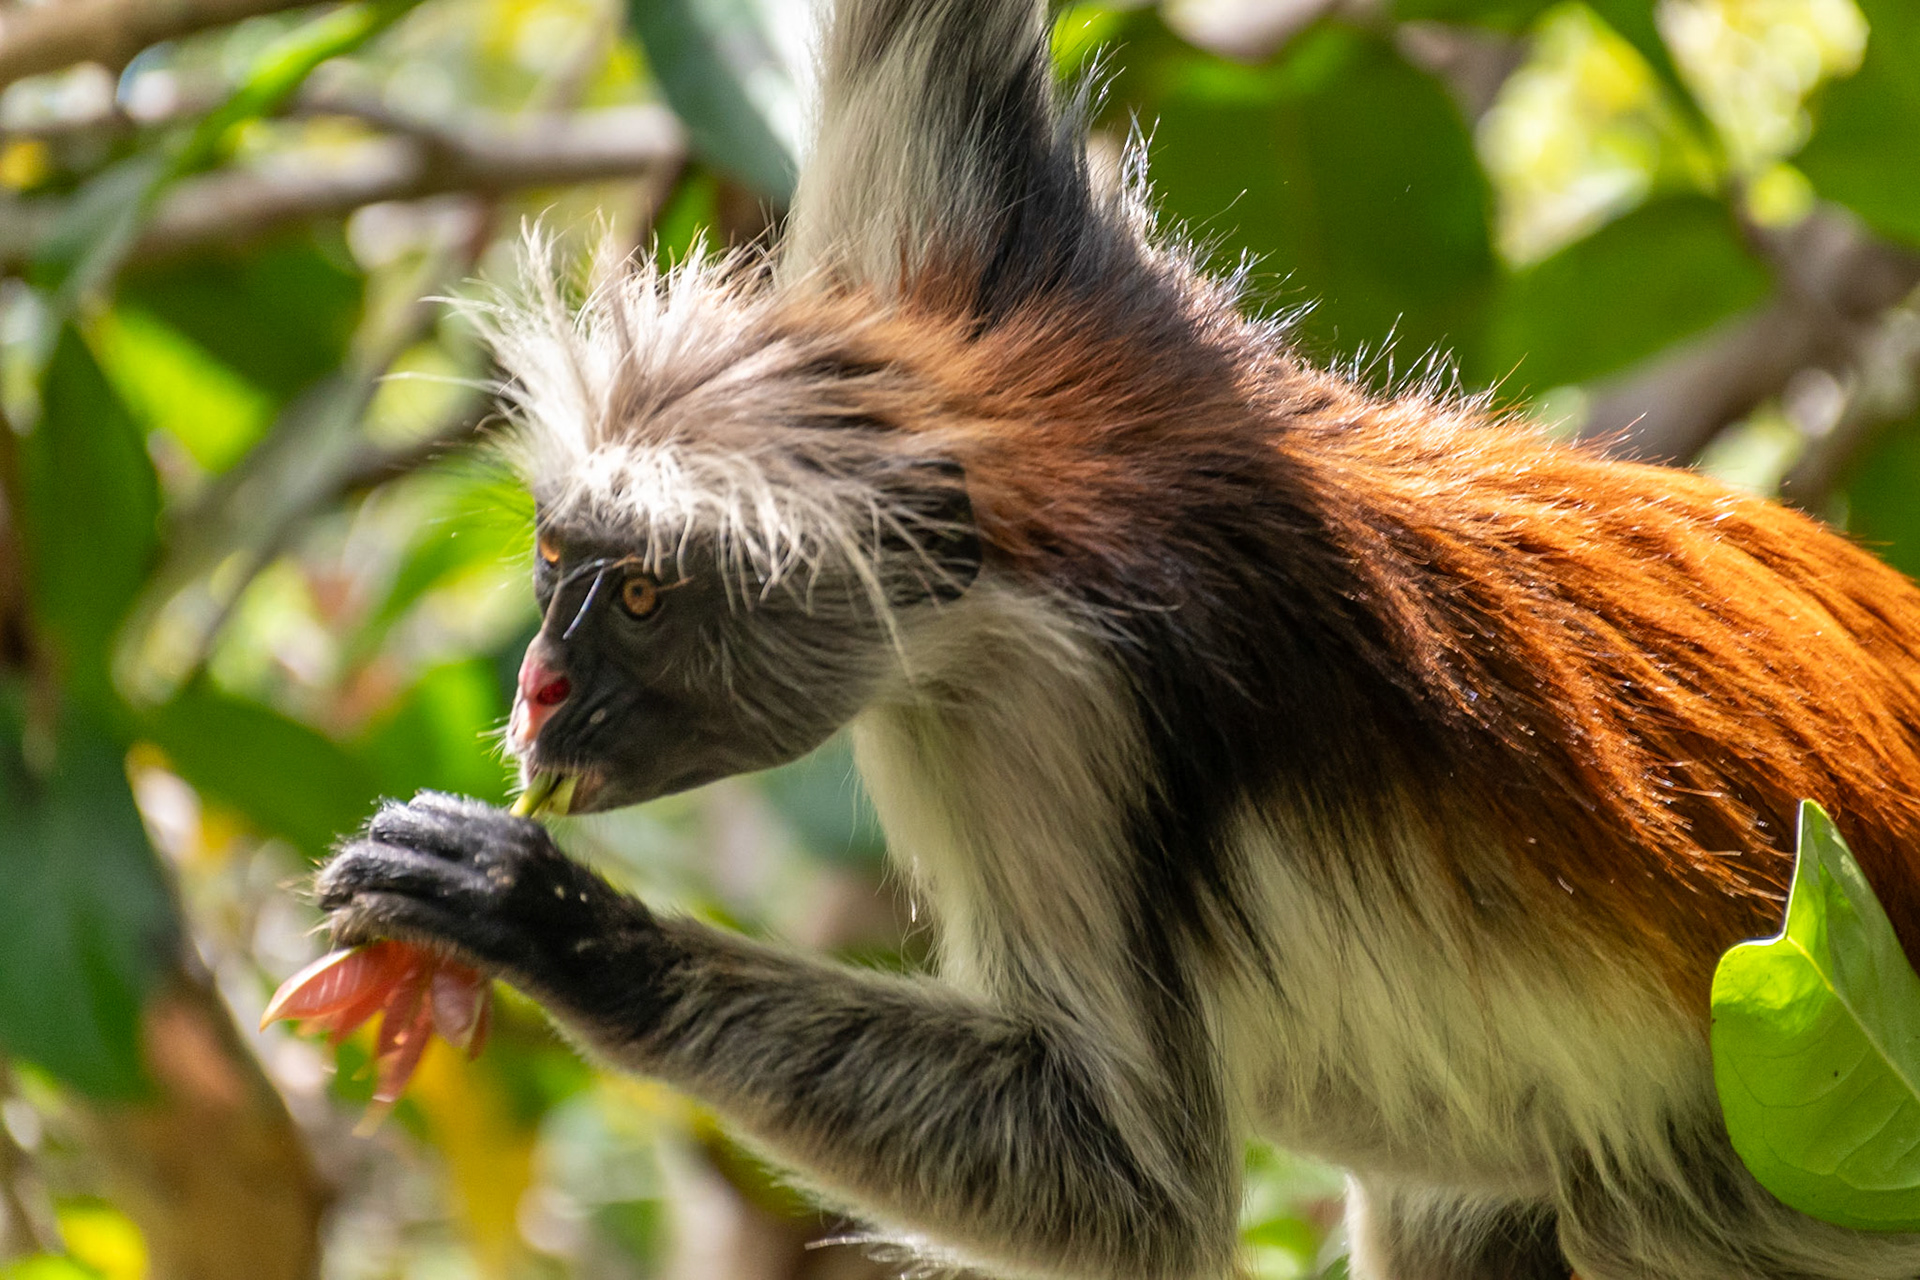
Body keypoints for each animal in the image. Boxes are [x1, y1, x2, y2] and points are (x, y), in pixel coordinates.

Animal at [314, 0, 1920, 1277]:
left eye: (644, 600)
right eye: (555, 566)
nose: (541, 685)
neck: (1016, 517)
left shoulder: (1064, 717)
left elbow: (1132, 1187)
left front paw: (547, 921)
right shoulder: (972, 264)